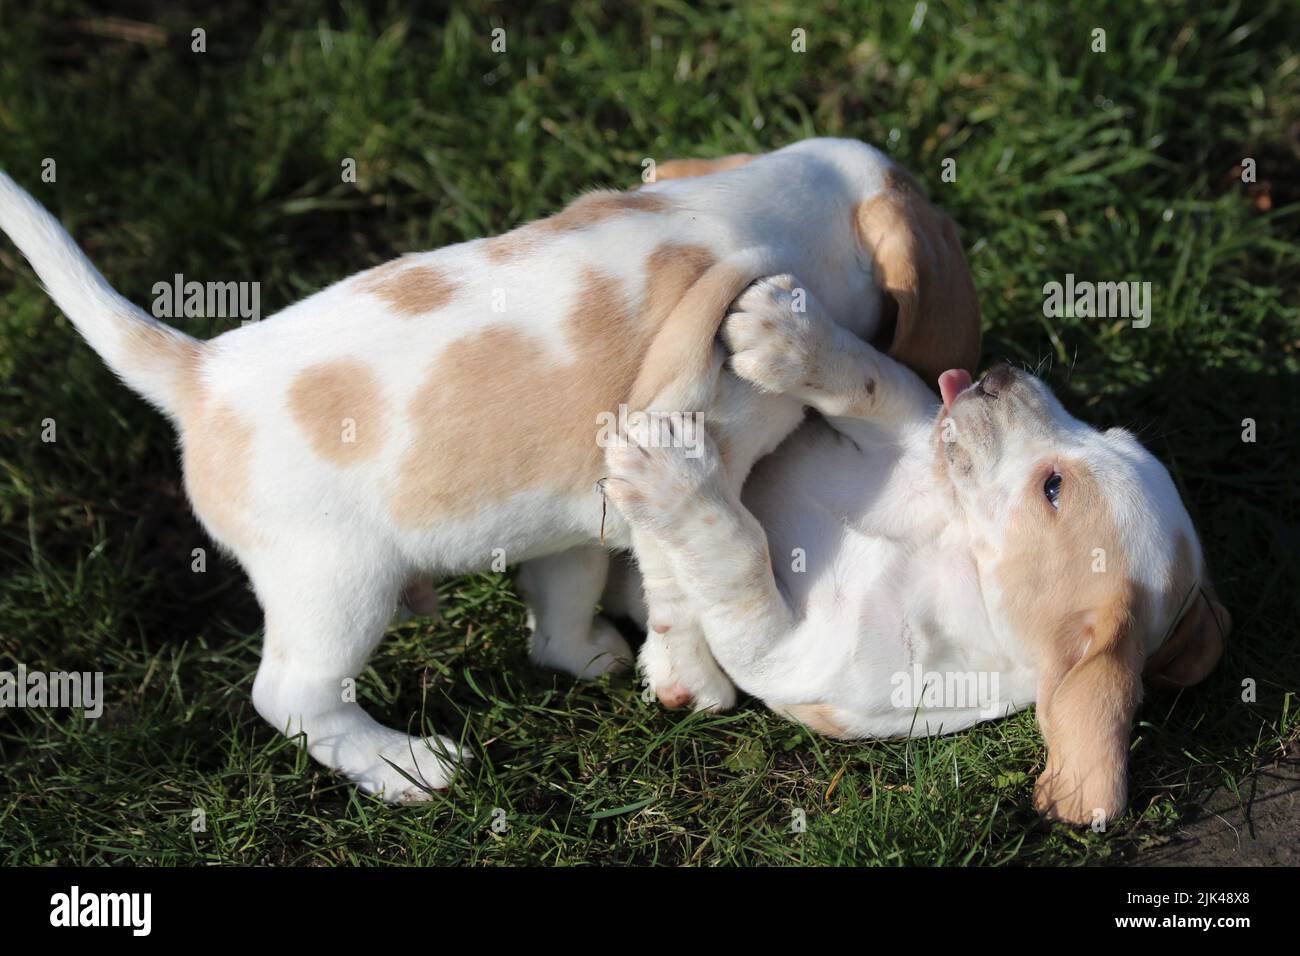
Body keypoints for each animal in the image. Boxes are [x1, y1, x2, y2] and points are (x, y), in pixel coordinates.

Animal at [0, 136, 977, 801]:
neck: (754, 214)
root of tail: (202, 376)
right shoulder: (696, 448)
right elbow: (696, 564)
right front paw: (693, 680)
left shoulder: (619, 488)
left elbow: (632, 572)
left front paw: (636, 660)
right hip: (336, 591)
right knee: (291, 698)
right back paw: (409, 767)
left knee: (556, 604)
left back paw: (581, 653)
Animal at [603, 286, 1232, 832]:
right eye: (1108, 430)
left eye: (1053, 488)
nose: (1001, 377)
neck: (949, 545)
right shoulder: (908, 440)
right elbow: (877, 383)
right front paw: (790, 332)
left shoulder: (782, 655)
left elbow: (739, 553)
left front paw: (673, 474)